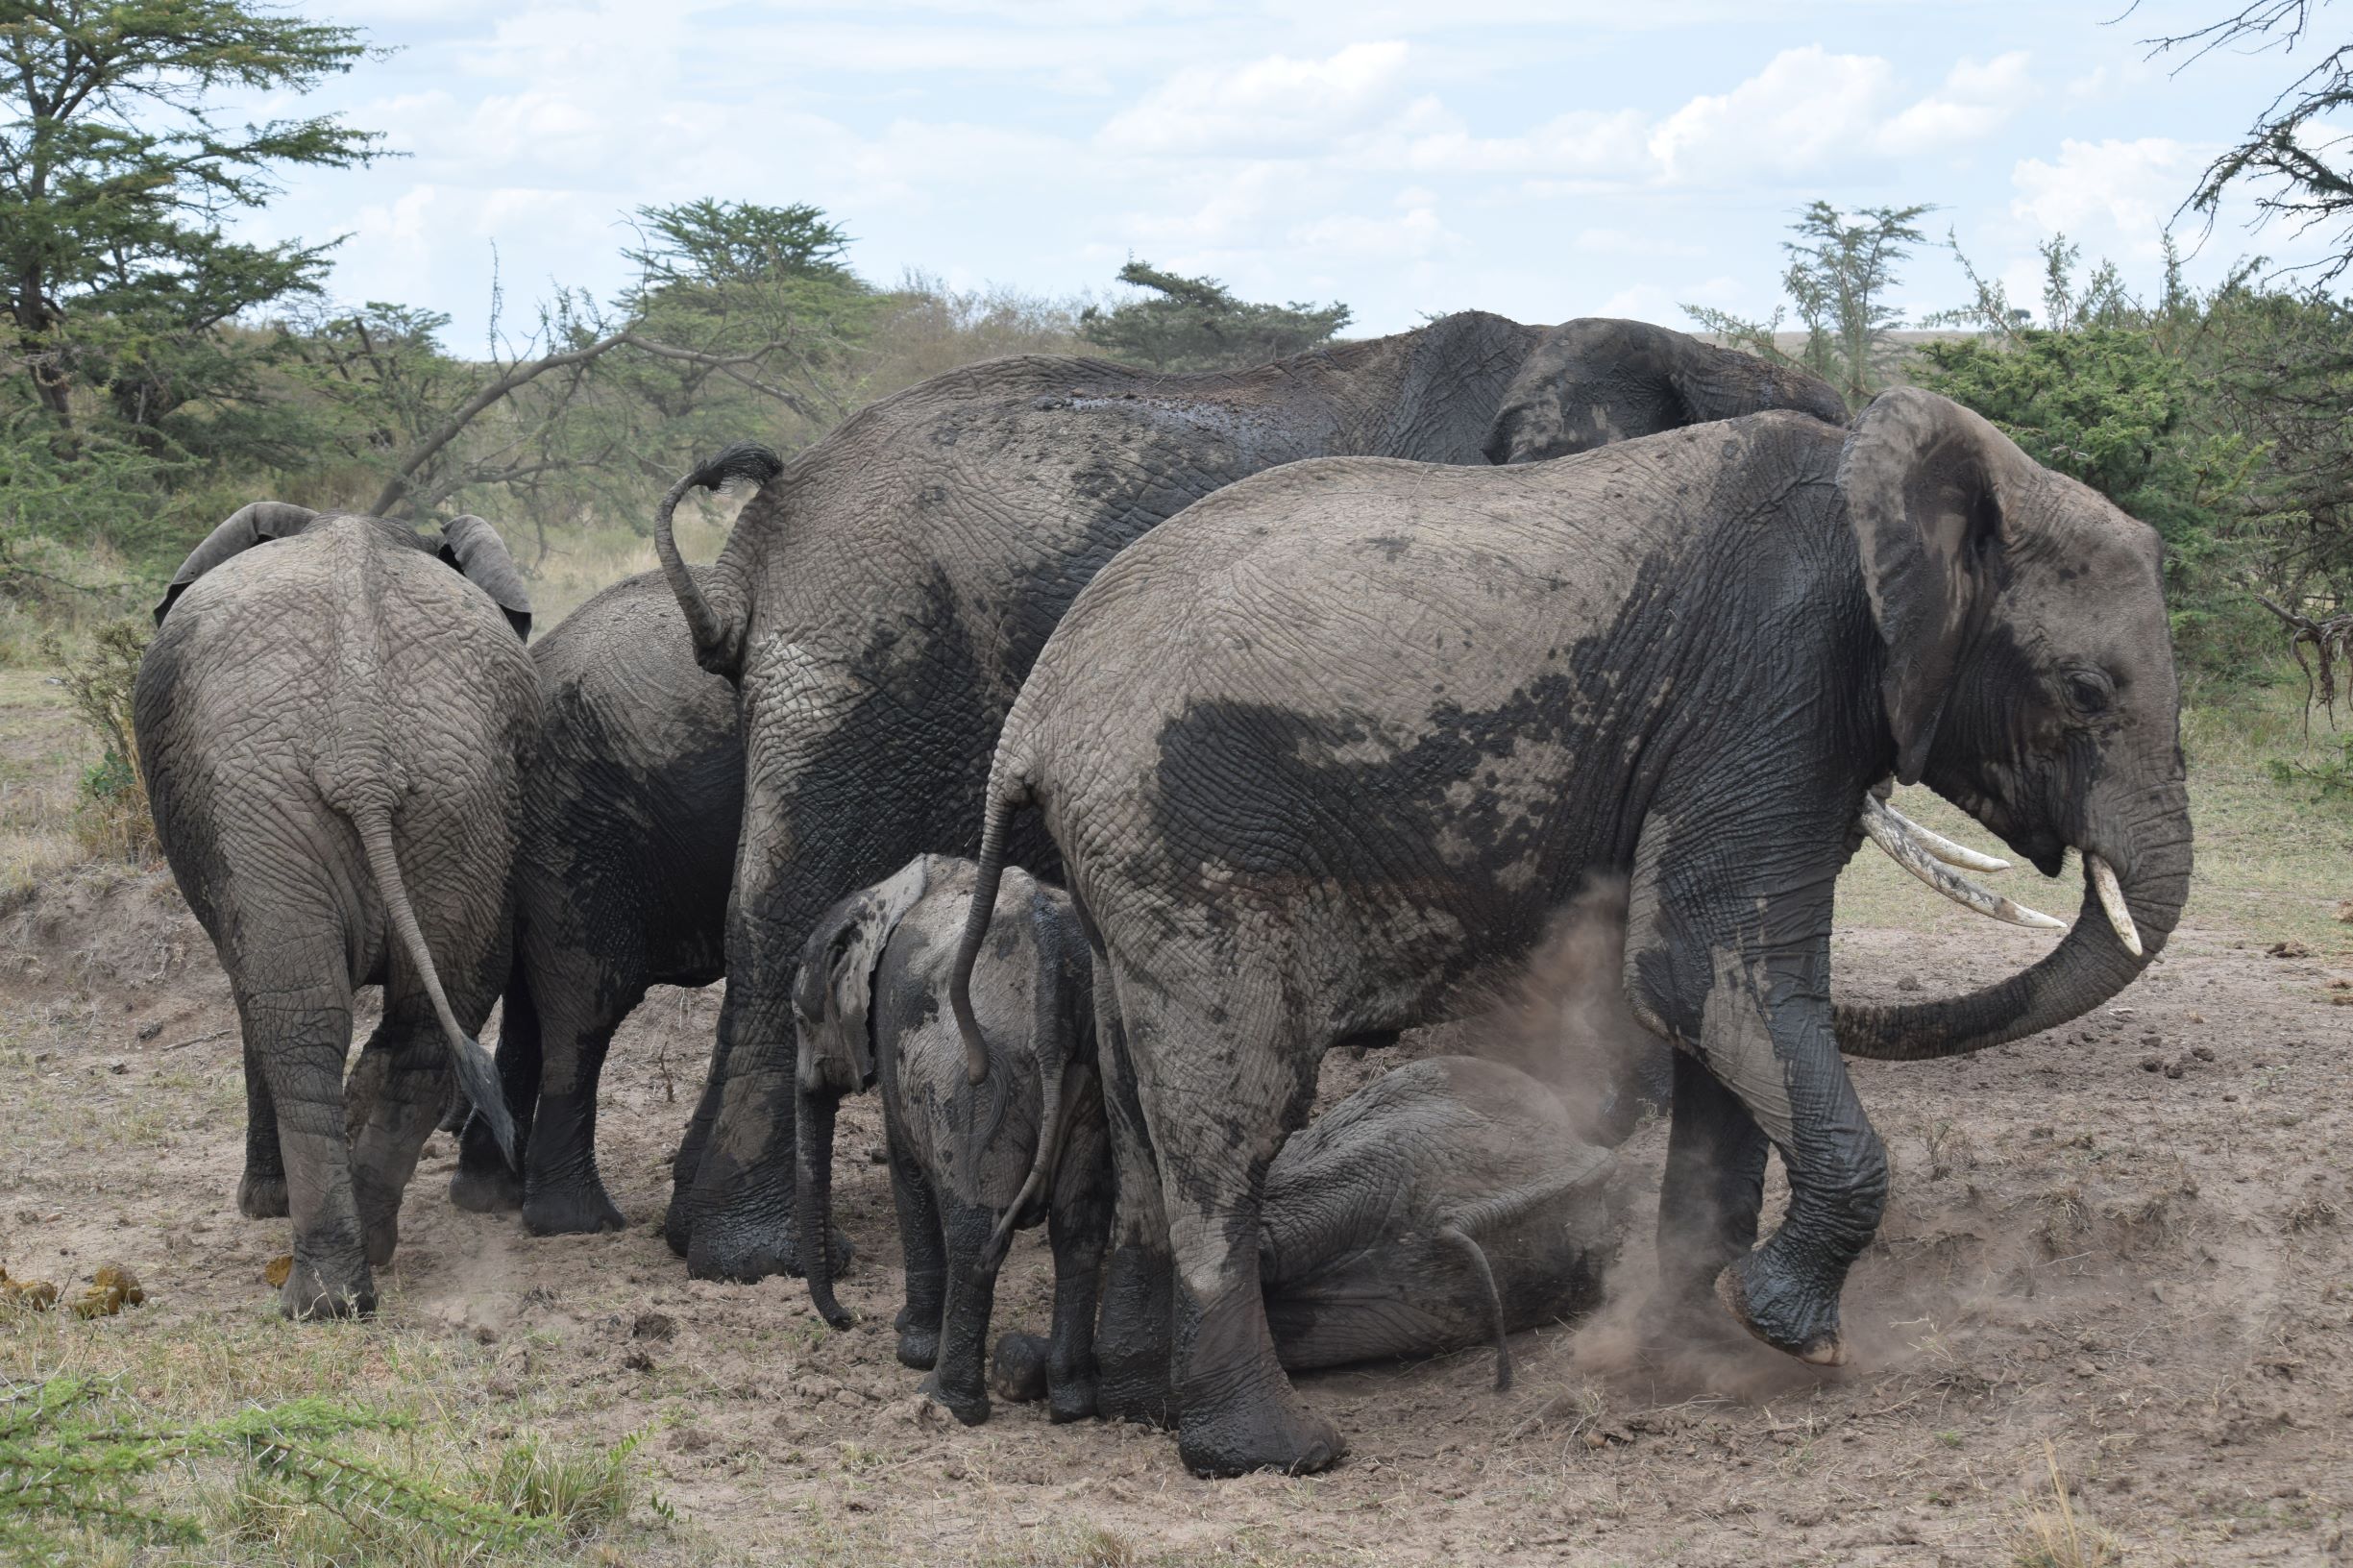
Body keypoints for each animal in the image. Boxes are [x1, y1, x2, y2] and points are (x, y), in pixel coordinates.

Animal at [139, 501, 538, 1309]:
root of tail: (362, 750)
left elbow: (251, 995)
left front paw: (261, 1204)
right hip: (465, 803)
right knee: (420, 1022)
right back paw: (357, 1268)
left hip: (266, 806)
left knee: (297, 1018)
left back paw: (316, 1287)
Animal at [795, 847, 1106, 1422]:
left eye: (801, 1021)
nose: (847, 1319)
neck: (887, 892)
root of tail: (1050, 956)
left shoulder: (892, 1036)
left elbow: (907, 1171)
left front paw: (910, 1348)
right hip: (1094, 1074)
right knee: (1080, 1229)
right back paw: (1072, 1404)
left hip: (974, 1079)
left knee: (975, 1236)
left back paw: (944, 1401)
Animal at [945, 383, 2193, 1469]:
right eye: (2086, 694)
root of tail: (1028, 730)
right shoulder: (1773, 681)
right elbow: (1697, 969)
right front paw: (1786, 1334)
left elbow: (1716, 1009)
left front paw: (1695, 1352)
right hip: (1189, 835)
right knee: (1230, 1122)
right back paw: (1274, 1453)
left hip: (1127, 858)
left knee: (1140, 1119)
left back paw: (1127, 1401)